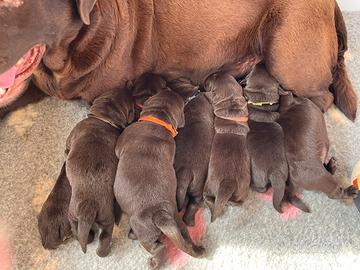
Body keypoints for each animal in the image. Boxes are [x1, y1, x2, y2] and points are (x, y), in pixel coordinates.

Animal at [64, 88, 134, 258]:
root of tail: (89, 207)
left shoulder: (73, 134)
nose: (128, 88)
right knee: (101, 236)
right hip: (93, 217)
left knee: (86, 233)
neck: (103, 119)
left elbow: (67, 146)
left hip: (81, 214)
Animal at [115, 87, 205, 268]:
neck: (157, 122)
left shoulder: (122, 141)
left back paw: (151, 258)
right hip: (178, 224)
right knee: (185, 241)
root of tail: (161, 215)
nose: (168, 87)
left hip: (143, 229)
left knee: (158, 247)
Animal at [202, 71, 250, 221]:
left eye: (209, 82)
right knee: (239, 201)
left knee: (208, 197)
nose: (203, 81)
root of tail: (227, 182)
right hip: (242, 189)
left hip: (209, 185)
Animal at [245, 63, 310, 213]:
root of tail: (275, 173)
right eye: (272, 77)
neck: (262, 106)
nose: (260, 63)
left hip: (258, 176)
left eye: (251, 72)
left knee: (262, 188)